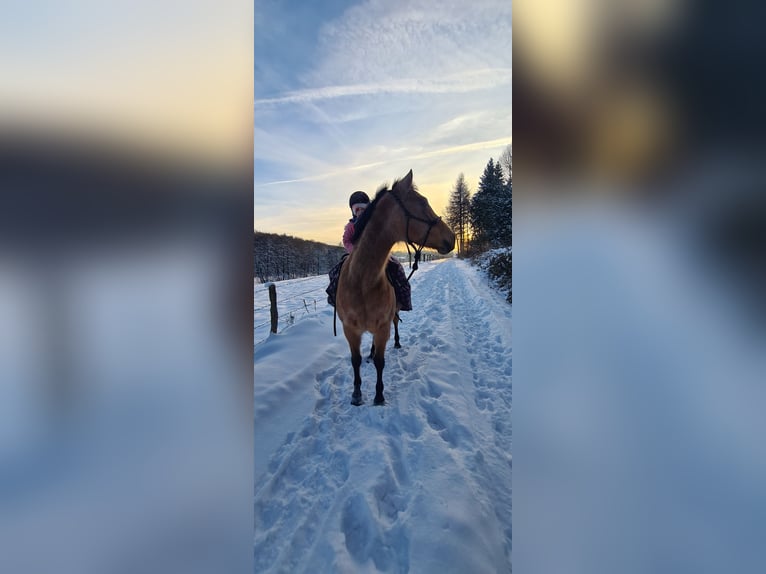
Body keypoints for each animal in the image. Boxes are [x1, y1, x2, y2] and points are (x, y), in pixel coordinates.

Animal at [336, 169, 456, 408]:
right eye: (423, 203)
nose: (453, 237)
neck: (362, 282)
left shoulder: (382, 327)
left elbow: (380, 362)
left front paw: (379, 395)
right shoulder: (350, 330)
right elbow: (355, 361)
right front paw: (356, 394)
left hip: (392, 315)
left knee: (395, 324)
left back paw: (397, 344)